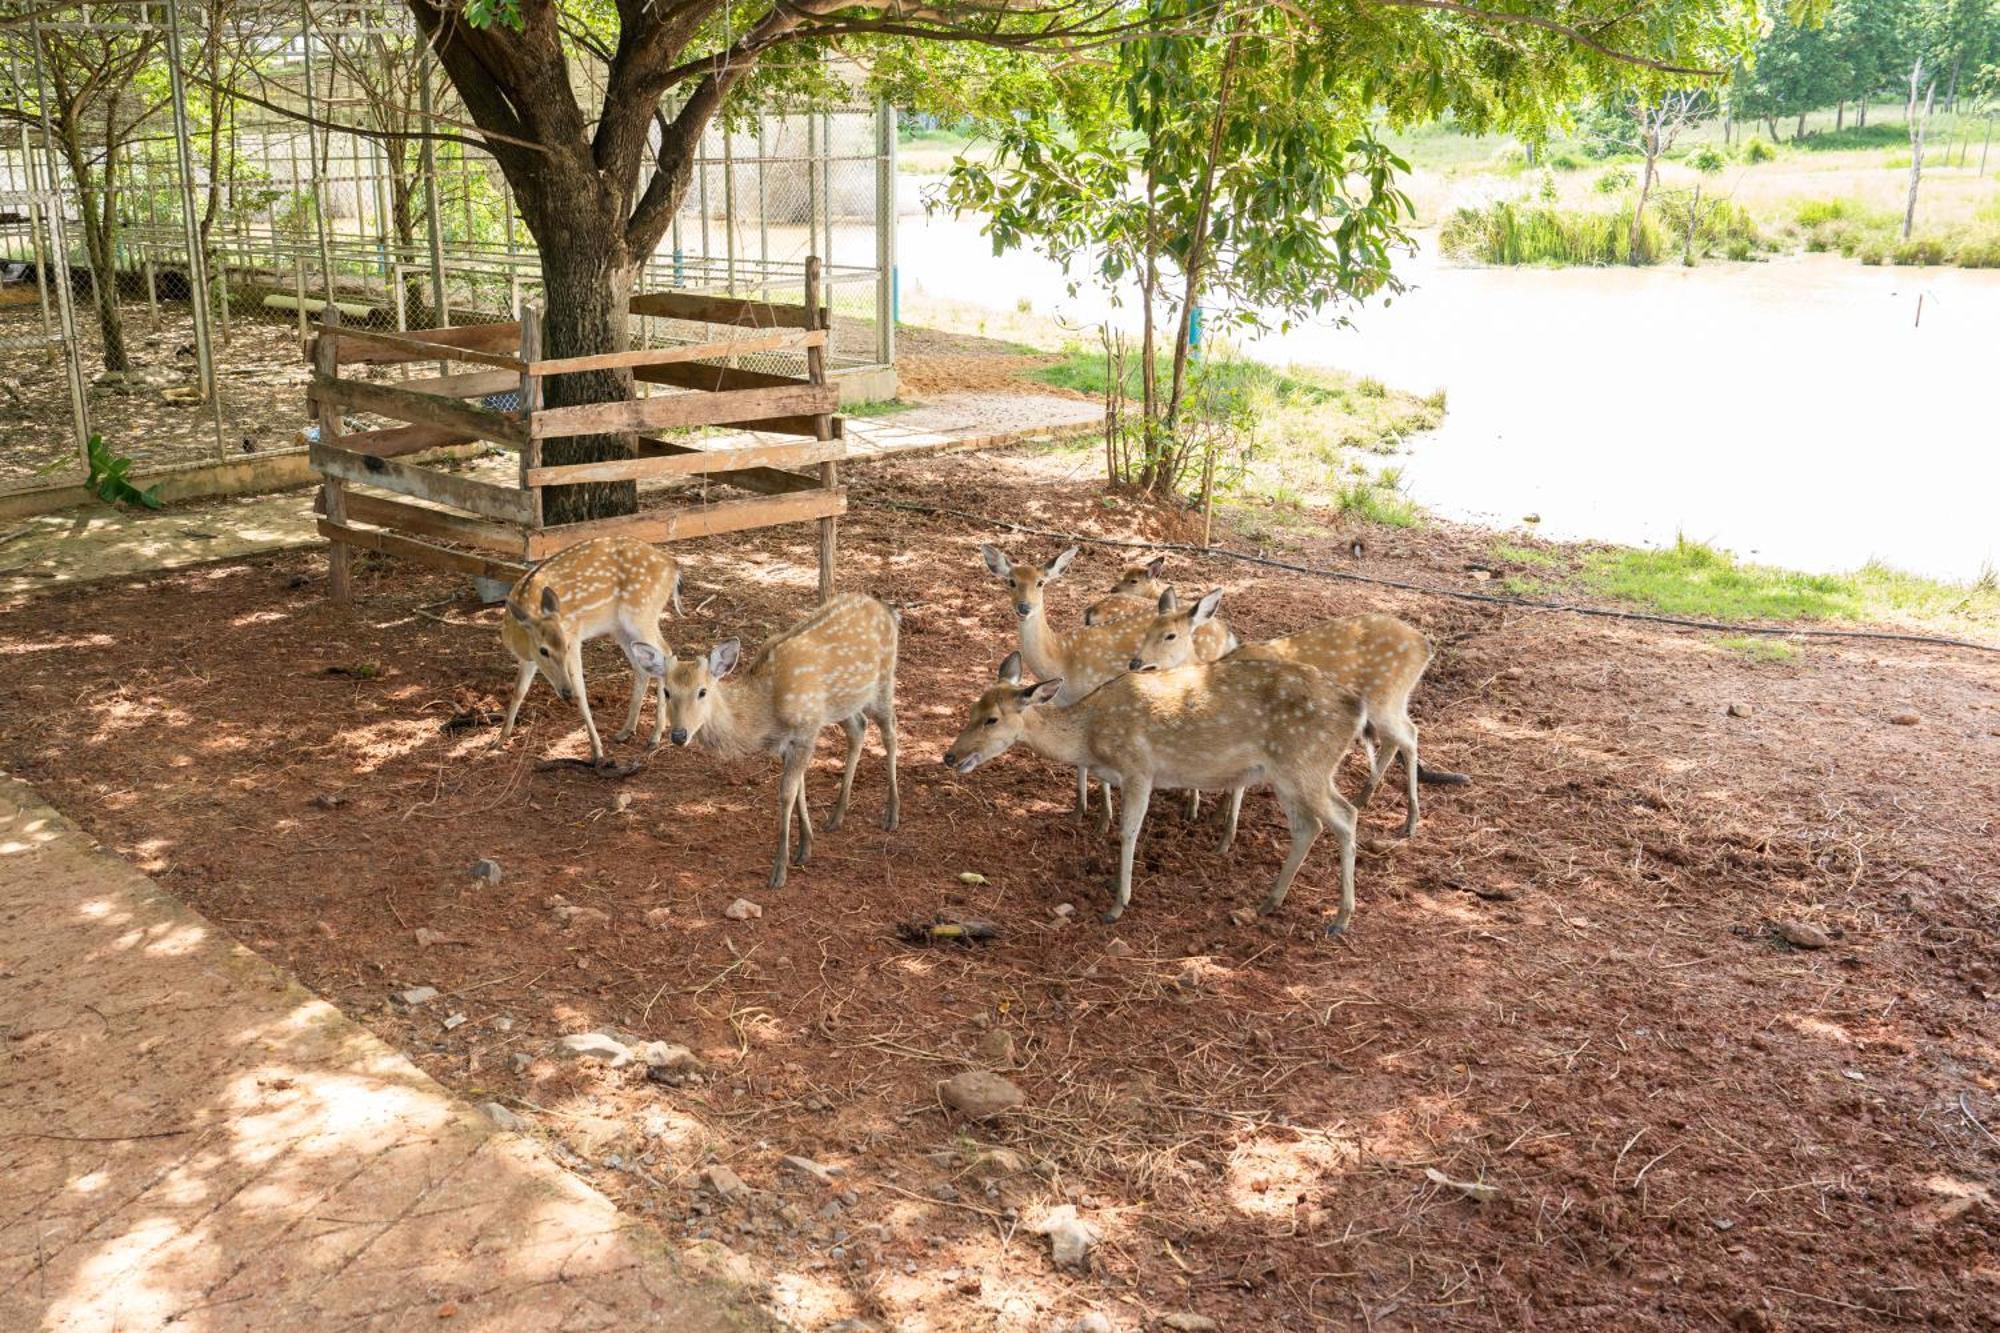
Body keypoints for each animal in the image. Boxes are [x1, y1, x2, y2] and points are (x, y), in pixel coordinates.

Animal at [500, 528, 688, 756]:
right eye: (543, 650)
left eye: (566, 646)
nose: (566, 692)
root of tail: (673, 568)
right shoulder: (527, 659)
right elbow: (519, 691)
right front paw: (500, 739)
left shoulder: (574, 637)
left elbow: (581, 691)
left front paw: (597, 750)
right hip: (619, 628)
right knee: (642, 666)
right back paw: (626, 731)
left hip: (642, 614)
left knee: (666, 652)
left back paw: (654, 737)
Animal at [632, 588, 900, 880]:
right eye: (667, 691)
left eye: (702, 691)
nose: (679, 735)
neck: (767, 713)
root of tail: (886, 610)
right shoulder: (788, 742)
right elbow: (799, 789)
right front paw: (805, 847)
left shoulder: (807, 729)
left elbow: (786, 793)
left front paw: (780, 869)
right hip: (845, 703)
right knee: (859, 727)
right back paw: (836, 816)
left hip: (884, 680)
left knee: (890, 732)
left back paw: (892, 815)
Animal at [944, 648, 1368, 928]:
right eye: (971, 709)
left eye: (992, 719)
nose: (950, 756)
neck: (1090, 738)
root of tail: (1357, 708)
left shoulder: (1140, 769)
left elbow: (1129, 831)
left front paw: (1117, 905)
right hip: (1287, 773)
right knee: (1308, 826)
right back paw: (1270, 902)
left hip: (1307, 764)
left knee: (1346, 815)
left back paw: (1341, 918)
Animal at [972, 544, 1232, 820]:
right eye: (1011, 581)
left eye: (1040, 582)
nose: (1024, 607)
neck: (1062, 658)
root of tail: (1227, 635)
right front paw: (1078, 810)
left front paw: (1104, 818)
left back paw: (1197, 809)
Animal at [1128, 592, 1472, 840]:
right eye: (1147, 630)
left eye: (1170, 636)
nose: (1136, 662)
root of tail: (1425, 646)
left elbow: (1238, 784)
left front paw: (1222, 828)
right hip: (1392, 701)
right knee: (1395, 739)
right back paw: (1364, 798)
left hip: (1385, 698)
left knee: (1410, 735)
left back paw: (1410, 822)